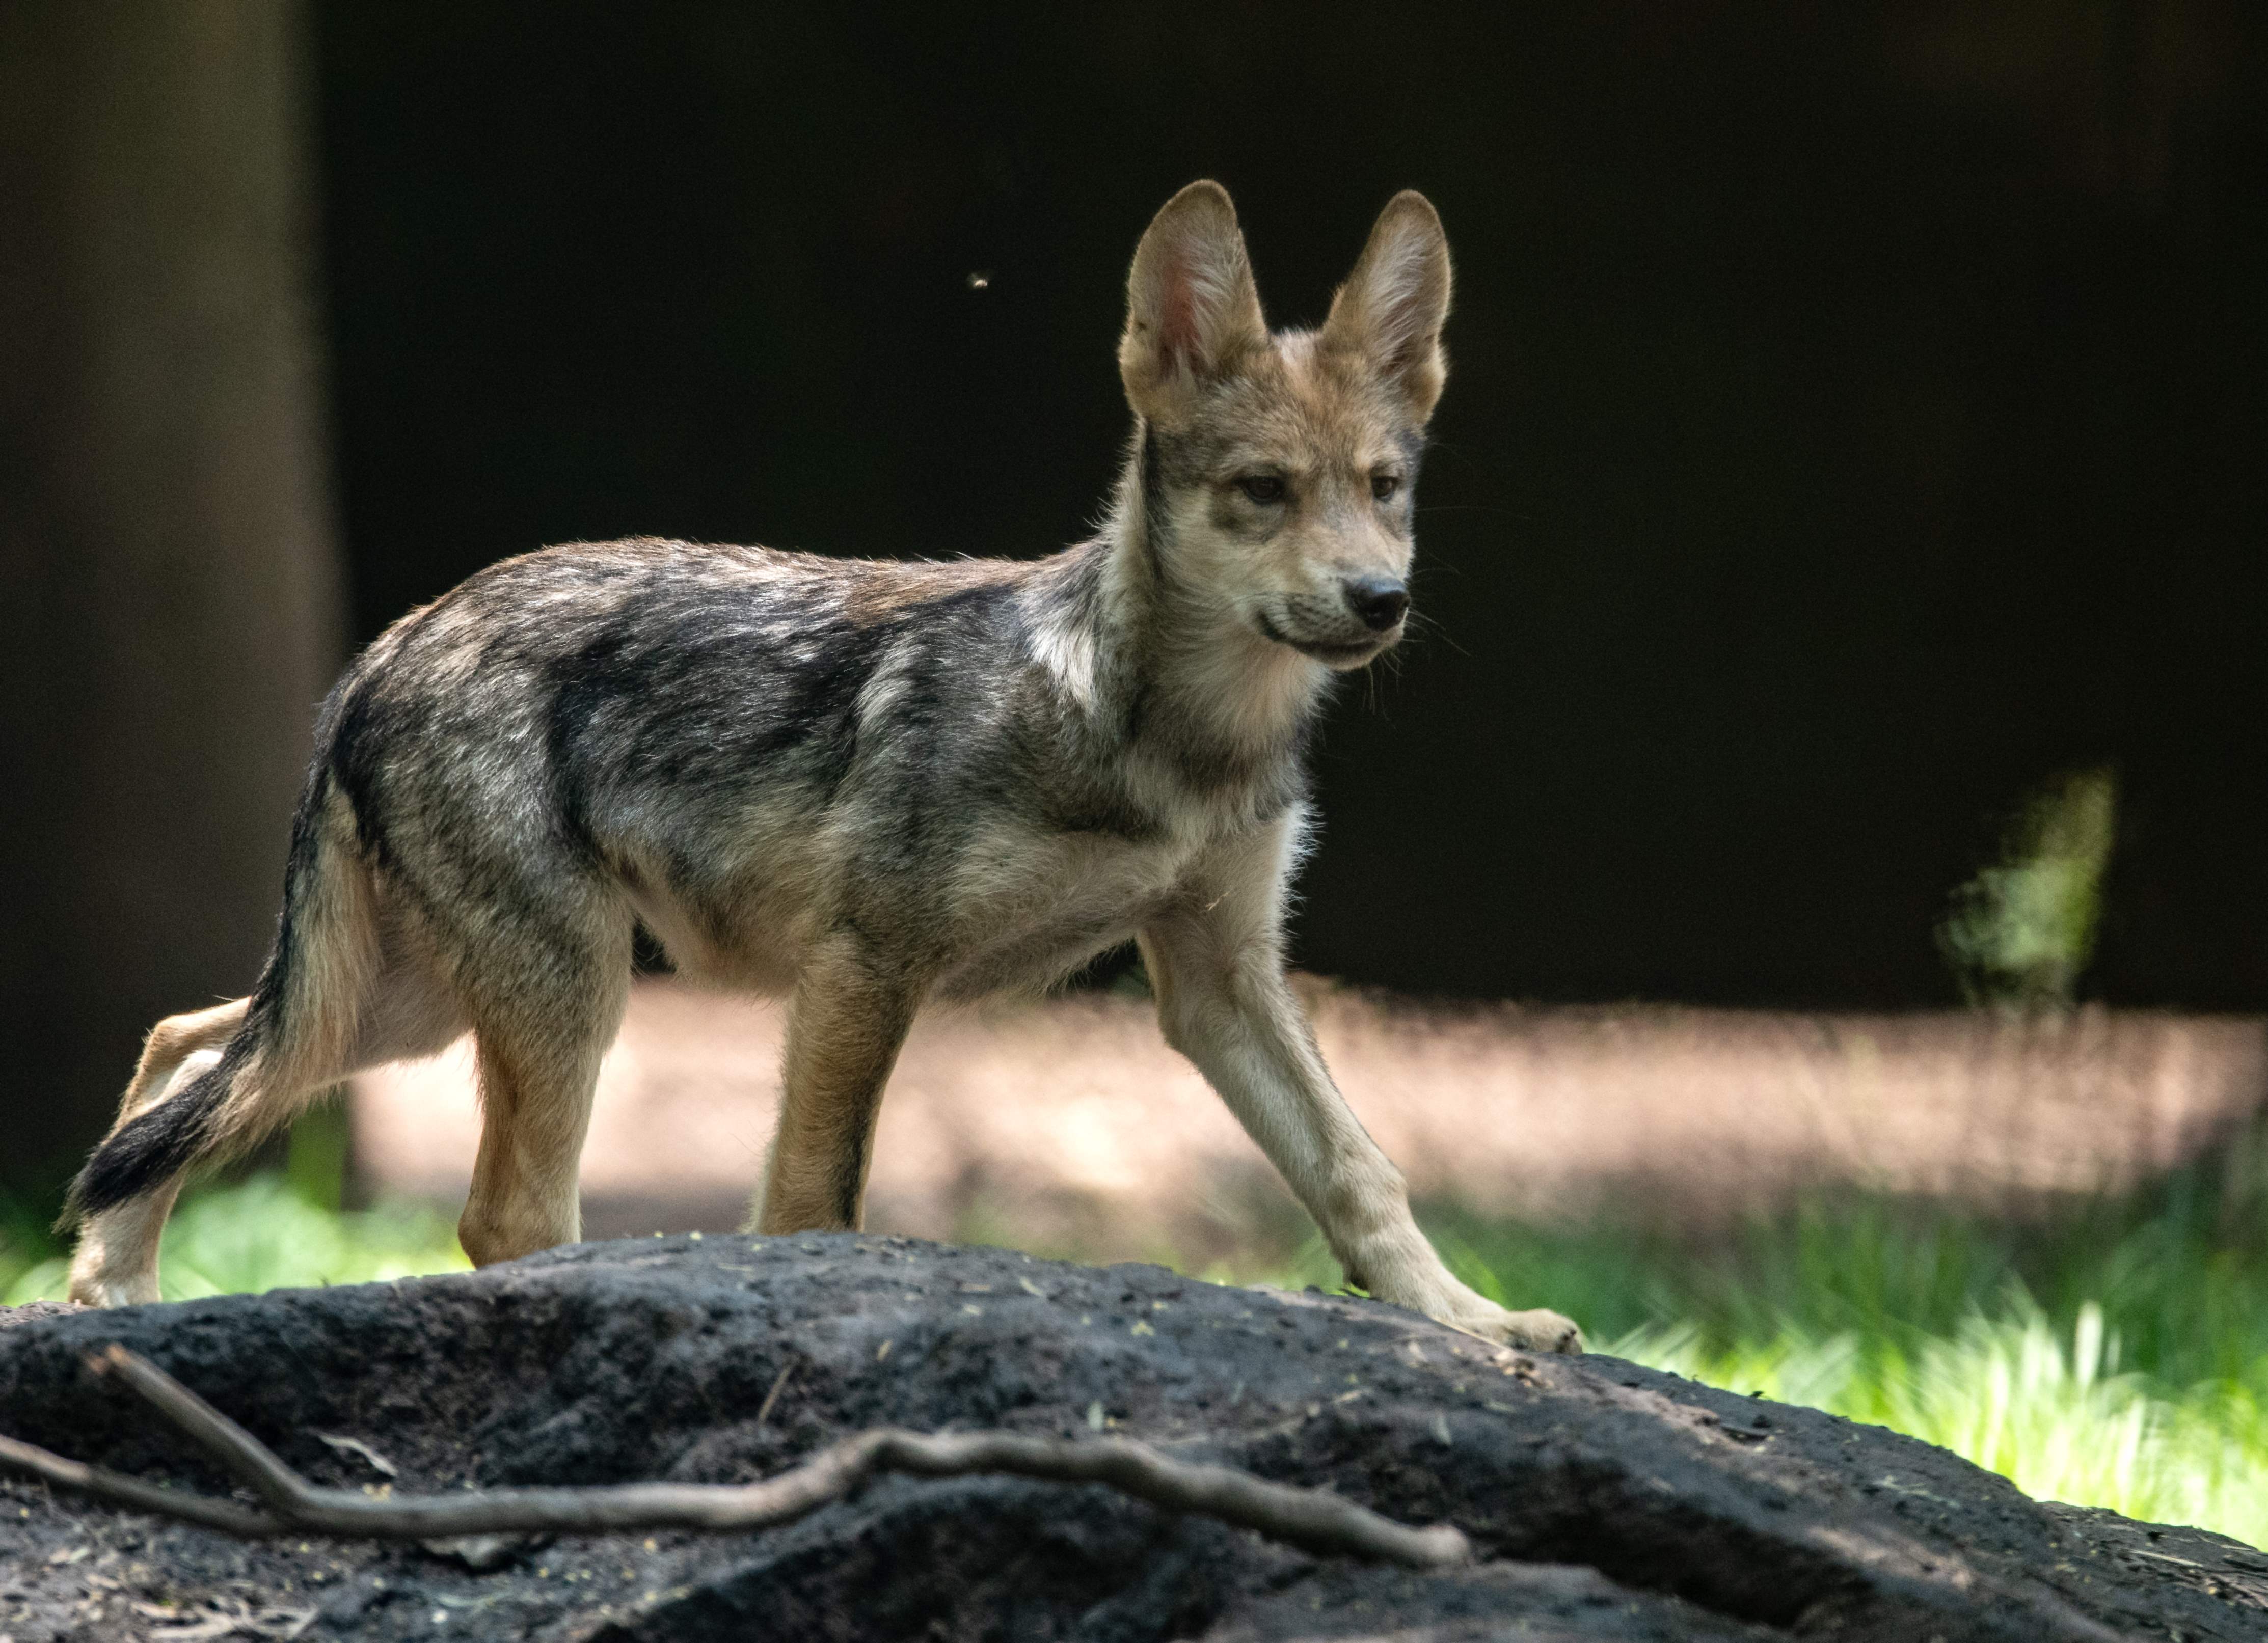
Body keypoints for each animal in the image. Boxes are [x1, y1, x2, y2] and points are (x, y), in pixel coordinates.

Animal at [71, 179, 1587, 1350]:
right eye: (1263, 491)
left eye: (1383, 487)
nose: (1380, 600)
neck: (1167, 738)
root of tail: (383, 648)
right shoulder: (863, 963)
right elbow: (817, 1202)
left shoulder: (1224, 982)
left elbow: (1360, 1171)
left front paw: (1473, 1324)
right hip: (551, 997)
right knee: (498, 1207)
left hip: (400, 1008)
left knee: (179, 1051)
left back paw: (107, 1301)